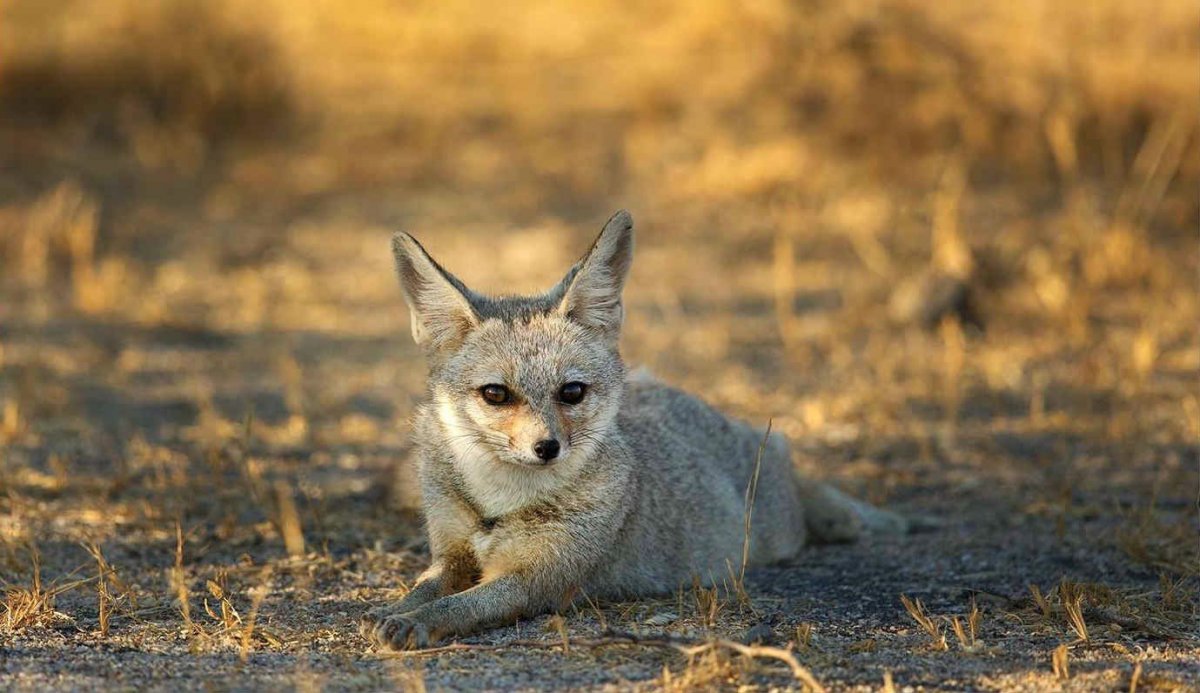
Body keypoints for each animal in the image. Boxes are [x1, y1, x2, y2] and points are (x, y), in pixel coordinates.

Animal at [360, 210, 909, 650]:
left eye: (572, 392)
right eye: (496, 394)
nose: (546, 448)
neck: (499, 506)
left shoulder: (539, 579)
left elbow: (461, 605)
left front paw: (416, 621)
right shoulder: (450, 552)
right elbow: (426, 586)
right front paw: (392, 609)